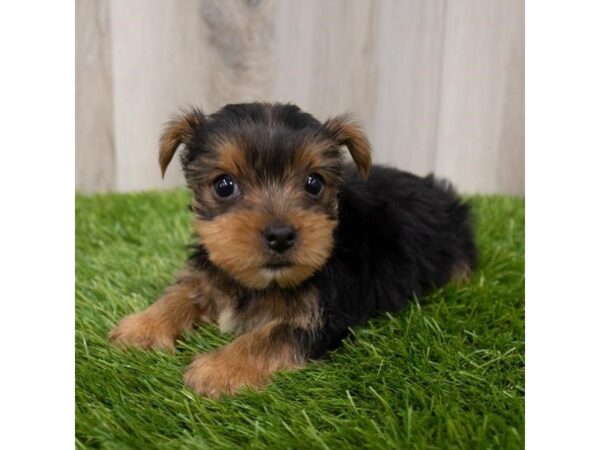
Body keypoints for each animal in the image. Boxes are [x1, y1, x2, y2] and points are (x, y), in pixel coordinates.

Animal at [109, 102, 478, 398]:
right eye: (224, 186)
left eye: (314, 183)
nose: (280, 235)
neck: (260, 283)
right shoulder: (212, 271)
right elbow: (183, 292)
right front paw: (142, 327)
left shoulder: (322, 314)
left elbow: (271, 335)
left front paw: (218, 370)